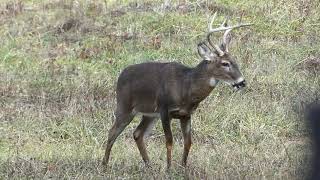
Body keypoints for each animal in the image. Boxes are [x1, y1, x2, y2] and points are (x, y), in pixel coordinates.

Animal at [102, 13, 252, 169]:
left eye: (234, 60)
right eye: (224, 63)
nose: (242, 82)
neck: (186, 88)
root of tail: (121, 75)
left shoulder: (186, 114)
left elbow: (188, 142)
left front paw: (183, 167)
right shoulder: (164, 110)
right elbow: (169, 141)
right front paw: (168, 168)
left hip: (149, 114)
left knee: (138, 133)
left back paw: (149, 165)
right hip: (124, 106)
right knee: (112, 132)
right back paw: (104, 164)